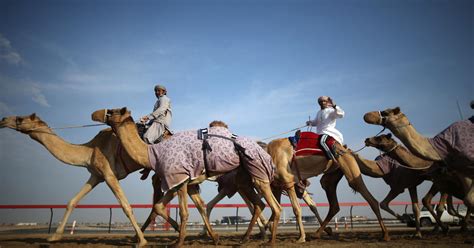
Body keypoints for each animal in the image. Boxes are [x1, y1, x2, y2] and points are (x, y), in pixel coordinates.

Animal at [0, 114, 219, 246]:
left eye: (20, 119)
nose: (3, 119)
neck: (89, 150)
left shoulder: (108, 174)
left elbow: (126, 206)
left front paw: (142, 240)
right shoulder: (95, 175)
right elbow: (72, 201)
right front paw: (54, 236)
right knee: (193, 201)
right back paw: (207, 235)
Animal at [90, 108, 282, 246]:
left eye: (113, 111)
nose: (95, 114)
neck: (153, 153)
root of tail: (263, 149)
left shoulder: (178, 179)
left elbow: (182, 211)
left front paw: (178, 241)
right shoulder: (185, 182)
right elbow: (167, 206)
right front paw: (214, 237)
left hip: (256, 173)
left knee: (274, 206)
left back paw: (269, 241)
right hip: (245, 178)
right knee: (259, 204)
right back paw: (245, 239)